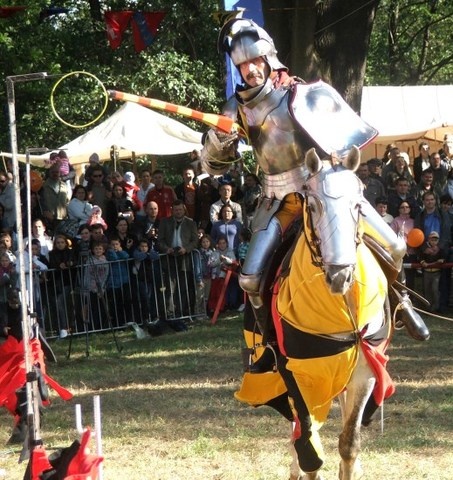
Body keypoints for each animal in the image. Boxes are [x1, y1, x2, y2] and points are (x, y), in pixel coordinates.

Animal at [235, 147, 394, 480]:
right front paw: (304, 463)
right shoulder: (295, 371)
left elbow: (348, 442)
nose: (340, 275)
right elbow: (309, 443)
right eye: (314, 204)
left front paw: (350, 465)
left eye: (358, 204)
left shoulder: (364, 368)